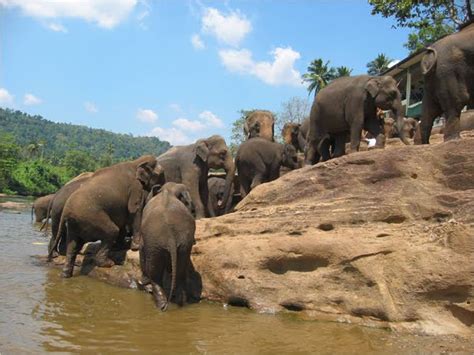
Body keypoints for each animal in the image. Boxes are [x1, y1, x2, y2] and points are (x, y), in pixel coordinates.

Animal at [139, 184, 196, 312]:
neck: (169, 189)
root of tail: (170, 237)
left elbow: (142, 248)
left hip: (155, 245)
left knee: (155, 274)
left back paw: (161, 306)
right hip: (183, 244)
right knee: (180, 271)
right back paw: (181, 302)